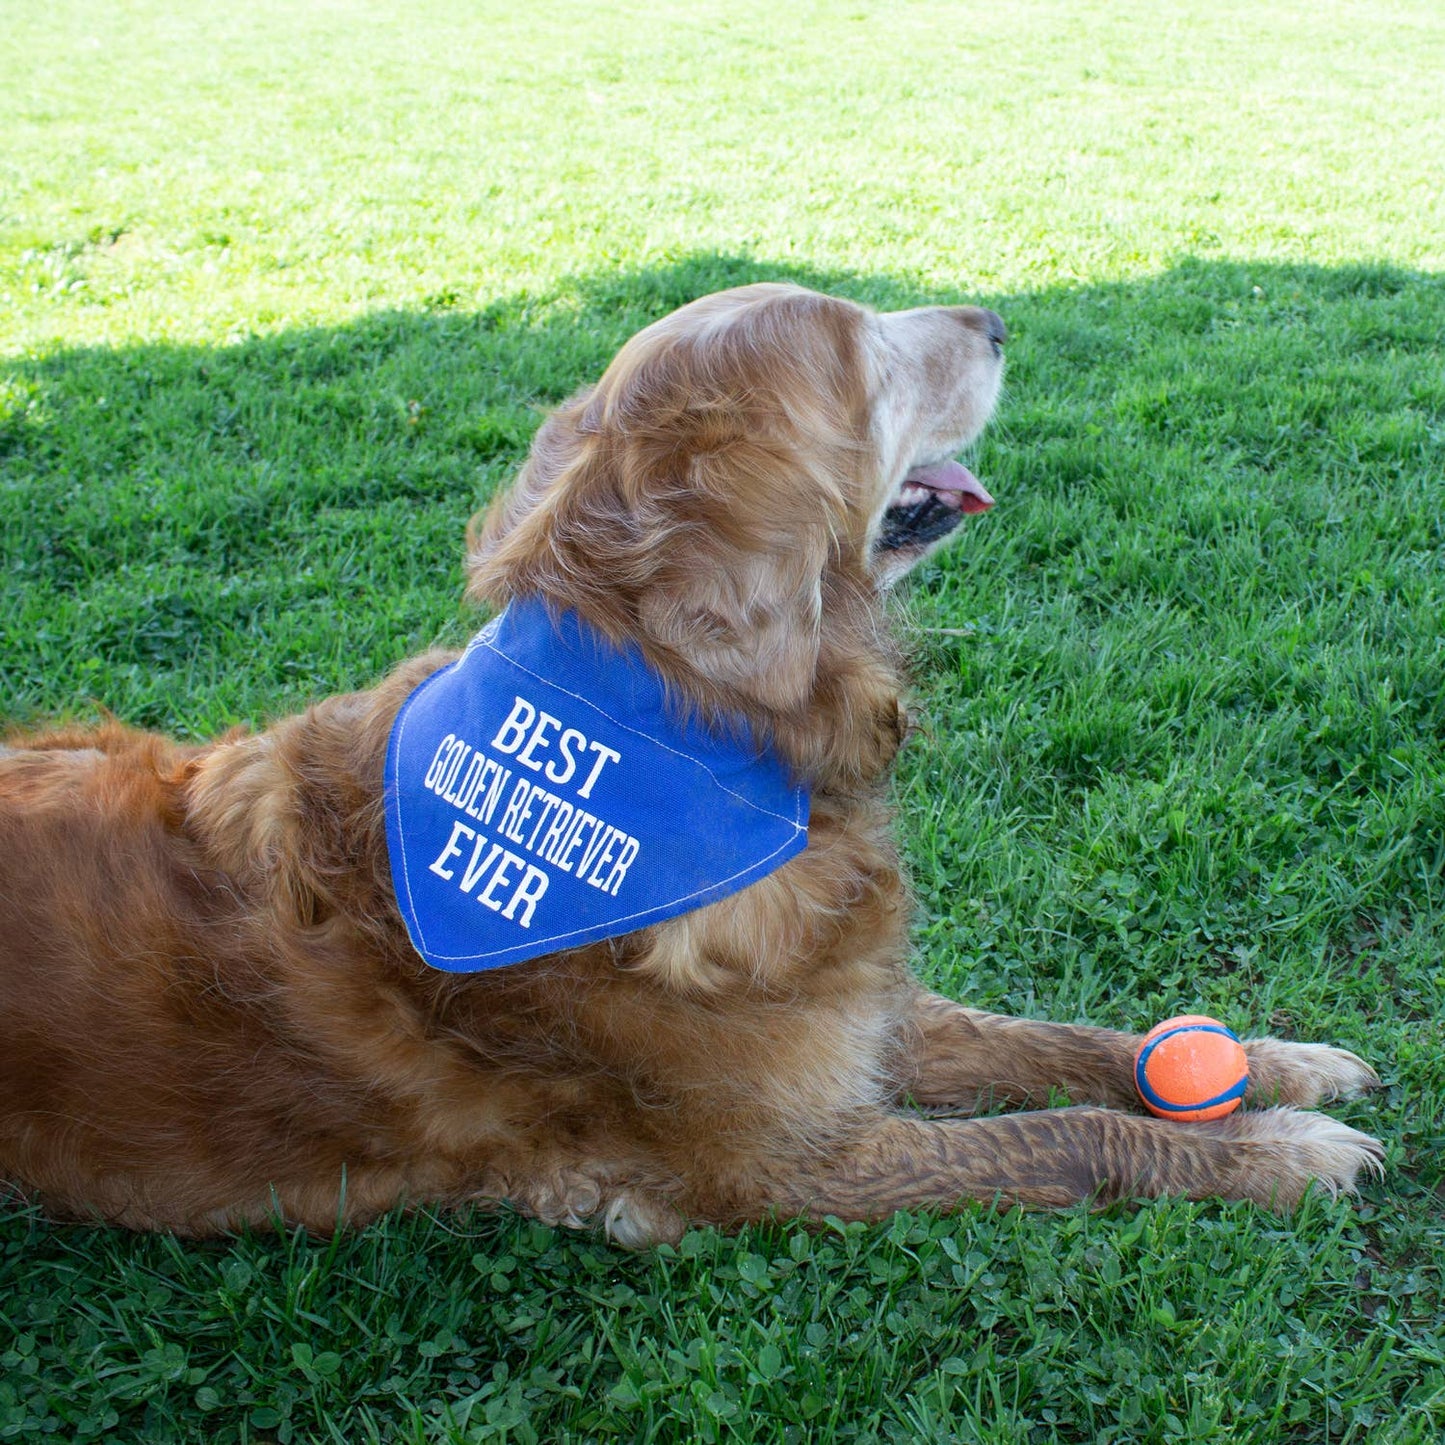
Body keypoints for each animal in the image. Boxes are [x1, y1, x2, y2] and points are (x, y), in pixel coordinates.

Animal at [0, 284, 1381, 1242]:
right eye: (866, 356)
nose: (996, 318)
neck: (682, 729)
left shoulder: (858, 1018)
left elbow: (1057, 1040)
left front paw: (1275, 1063)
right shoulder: (783, 1161)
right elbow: (1057, 1136)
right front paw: (1270, 1151)